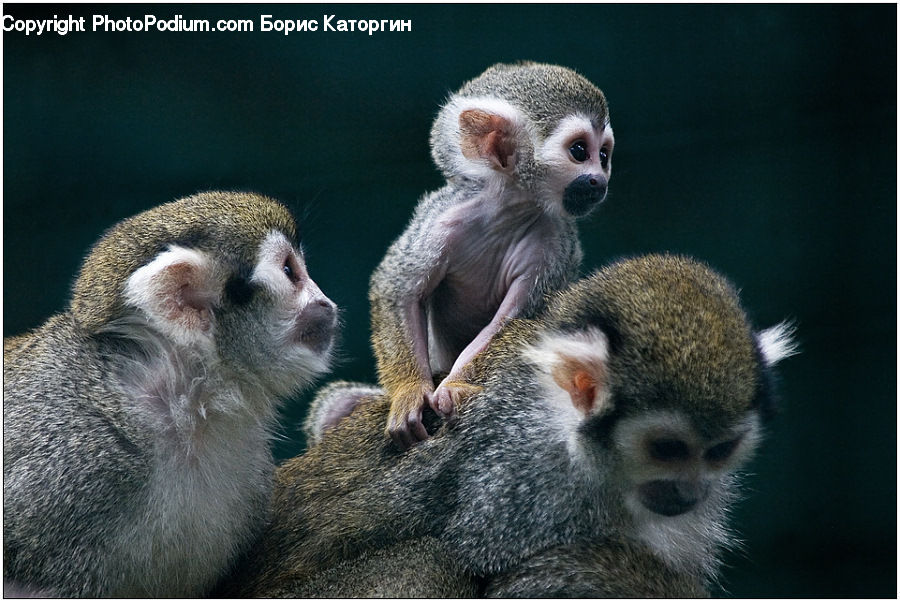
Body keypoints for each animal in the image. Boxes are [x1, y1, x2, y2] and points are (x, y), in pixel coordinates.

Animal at [369, 61, 614, 448]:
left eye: (603, 156)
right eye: (579, 151)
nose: (599, 180)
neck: (508, 212)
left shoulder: (552, 245)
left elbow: (514, 320)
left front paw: (454, 385)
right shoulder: (443, 221)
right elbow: (398, 289)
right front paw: (409, 392)